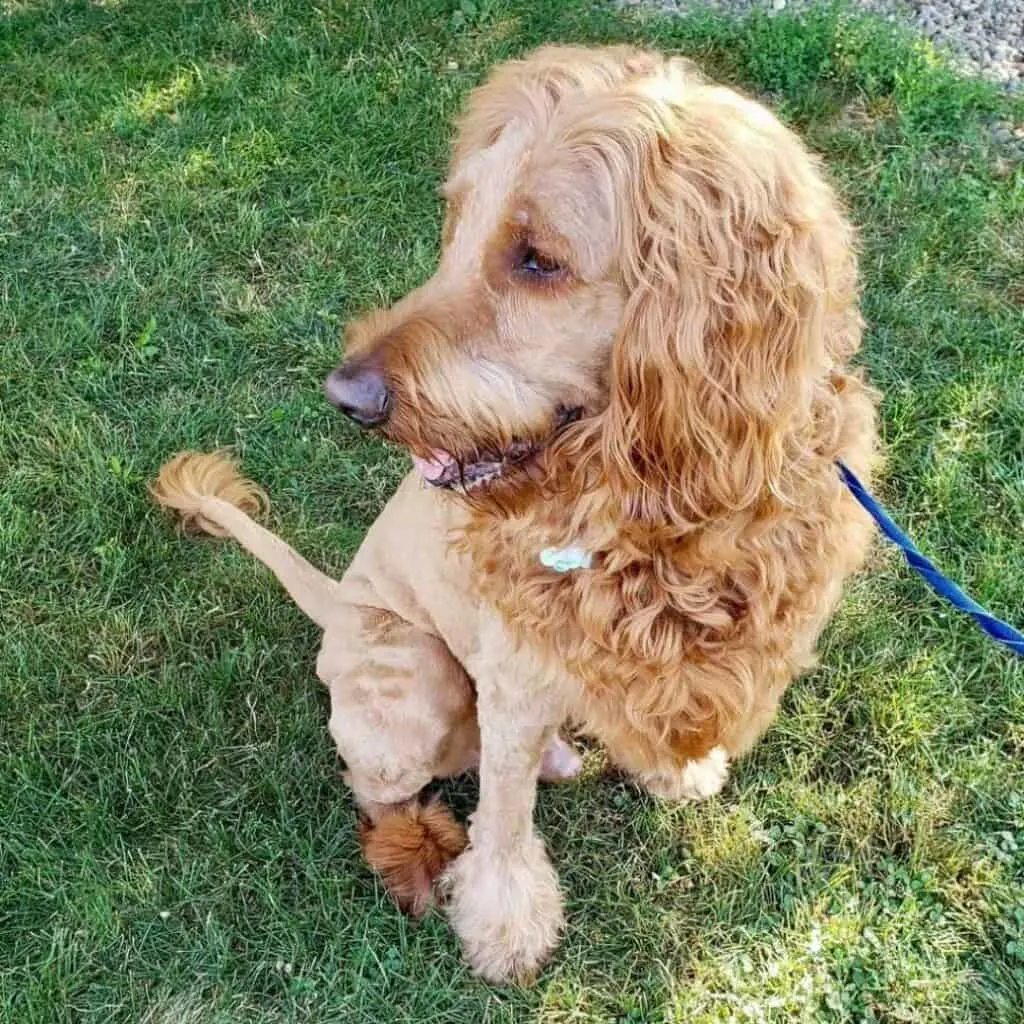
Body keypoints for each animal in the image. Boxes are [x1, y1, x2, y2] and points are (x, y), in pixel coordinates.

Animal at [151, 46, 872, 983]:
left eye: (537, 258)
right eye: (456, 226)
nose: (346, 397)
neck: (656, 513)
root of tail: (333, 599)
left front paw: (680, 774)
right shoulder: (514, 681)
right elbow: (500, 828)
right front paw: (504, 932)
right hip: (407, 678)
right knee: (382, 793)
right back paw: (416, 858)